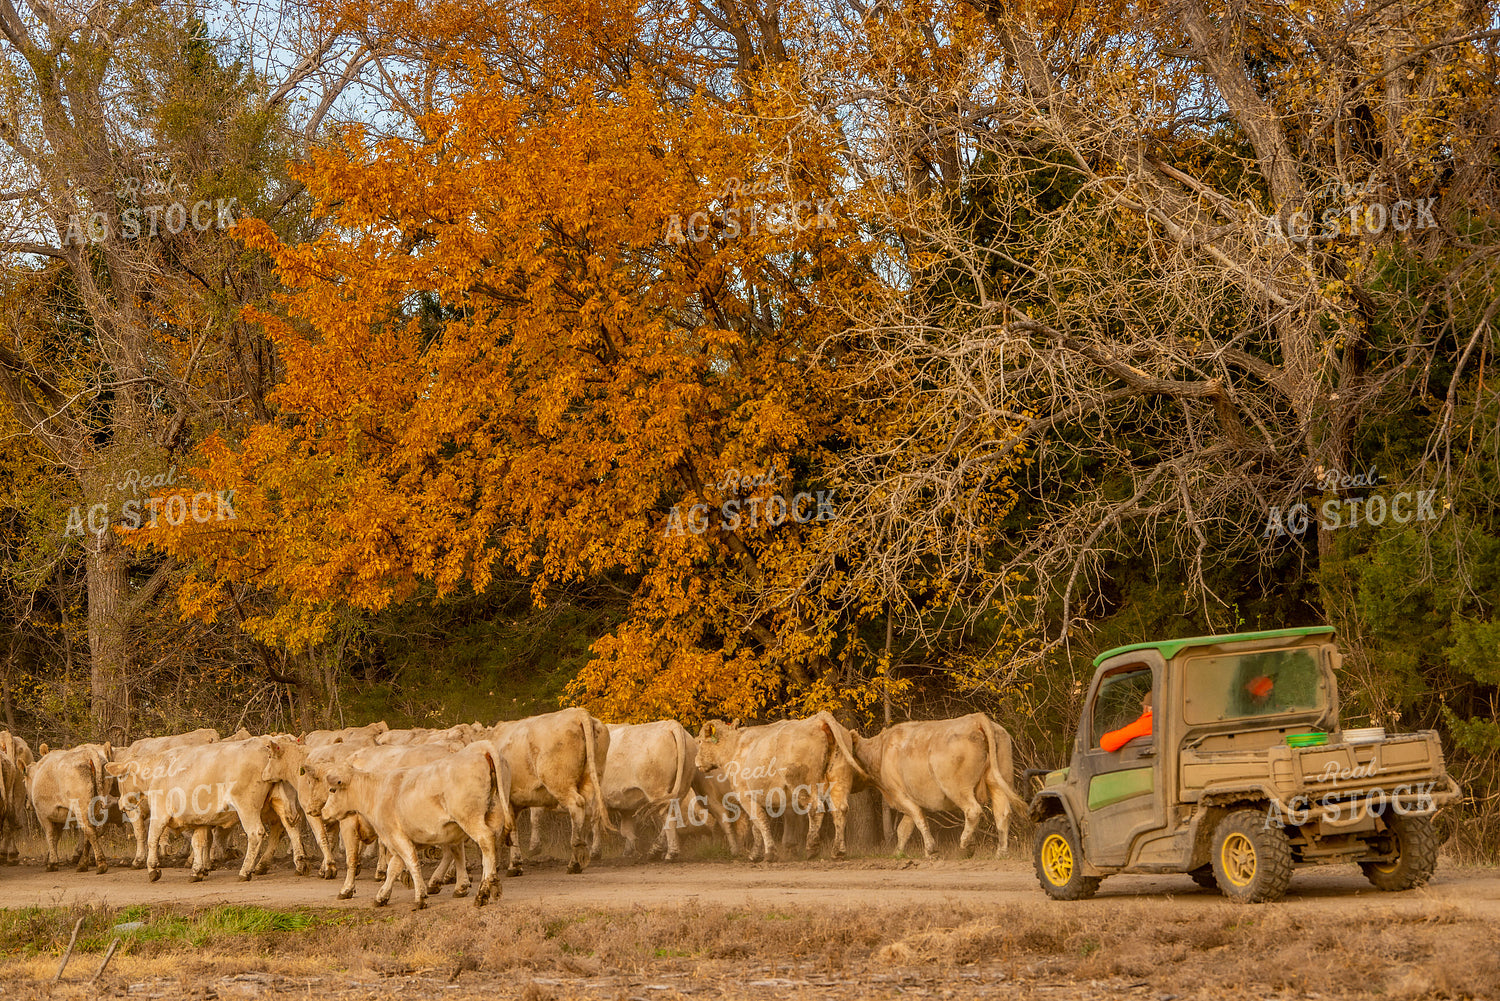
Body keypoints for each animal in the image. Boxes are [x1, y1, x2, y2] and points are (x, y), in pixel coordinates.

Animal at [27, 742, 115, 873]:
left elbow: (50, 835)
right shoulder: (59, 817)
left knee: (89, 831)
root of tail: (88, 753)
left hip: (80, 807)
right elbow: (56, 837)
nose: (28, 805)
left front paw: (52, 863)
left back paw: (101, 864)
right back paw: (83, 864)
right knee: (91, 833)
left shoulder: (42, 814)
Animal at [310, 739, 512, 910]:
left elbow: (410, 861)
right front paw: (382, 896)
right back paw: (489, 887)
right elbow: (394, 867)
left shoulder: (395, 835)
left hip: (470, 819)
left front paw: (419, 897)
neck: (377, 791)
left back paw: (483, 891)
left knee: (485, 842)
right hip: (491, 817)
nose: (322, 812)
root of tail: (479, 748)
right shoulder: (397, 840)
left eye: (332, 790)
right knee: (487, 848)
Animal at [489, 708, 610, 875]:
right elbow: (513, 829)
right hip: (592, 778)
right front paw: (515, 864)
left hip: (559, 780)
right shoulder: (514, 802)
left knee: (577, 805)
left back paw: (574, 863)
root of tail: (577, 713)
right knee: (589, 812)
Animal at [695, 712, 867, 861]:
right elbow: (758, 827)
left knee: (816, 808)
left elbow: (760, 821)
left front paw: (770, 853)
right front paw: (757, 854)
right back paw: (838, 851)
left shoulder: (746, 796)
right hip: (838, 778)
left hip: (802, 783)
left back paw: (812, 848)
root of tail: (818, 719)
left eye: (700, 741)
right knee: (840, 809)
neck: (735, 747)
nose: (697, 761)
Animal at [851, 713, 1025, 857]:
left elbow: (918, 819)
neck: (881, 752)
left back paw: (966, 846)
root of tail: (976, 718)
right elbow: (904, 829)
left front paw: (930, 849)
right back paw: (1001, 853)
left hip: (956, 787)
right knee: (1003, 813)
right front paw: (897, 854)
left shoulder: (900, 794)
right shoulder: (911, 798)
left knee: (973, 810)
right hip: (999, 778)